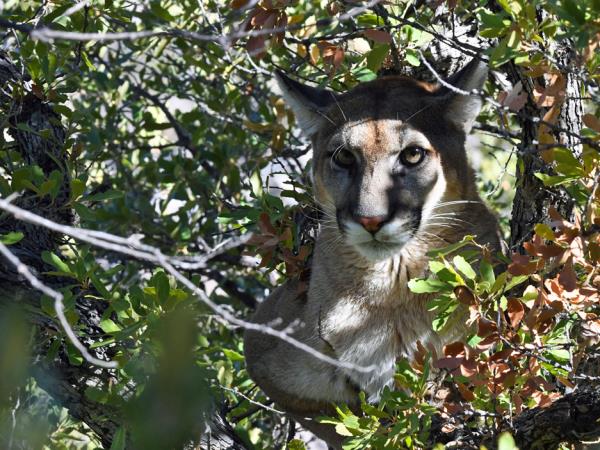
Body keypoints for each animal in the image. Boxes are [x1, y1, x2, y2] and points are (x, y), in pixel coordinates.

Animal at [244, 58, 502, 444]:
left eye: (412, 154)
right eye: (344, 156)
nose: (371, 219)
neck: (390, 289)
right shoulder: (262, 347)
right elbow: (335, 416)